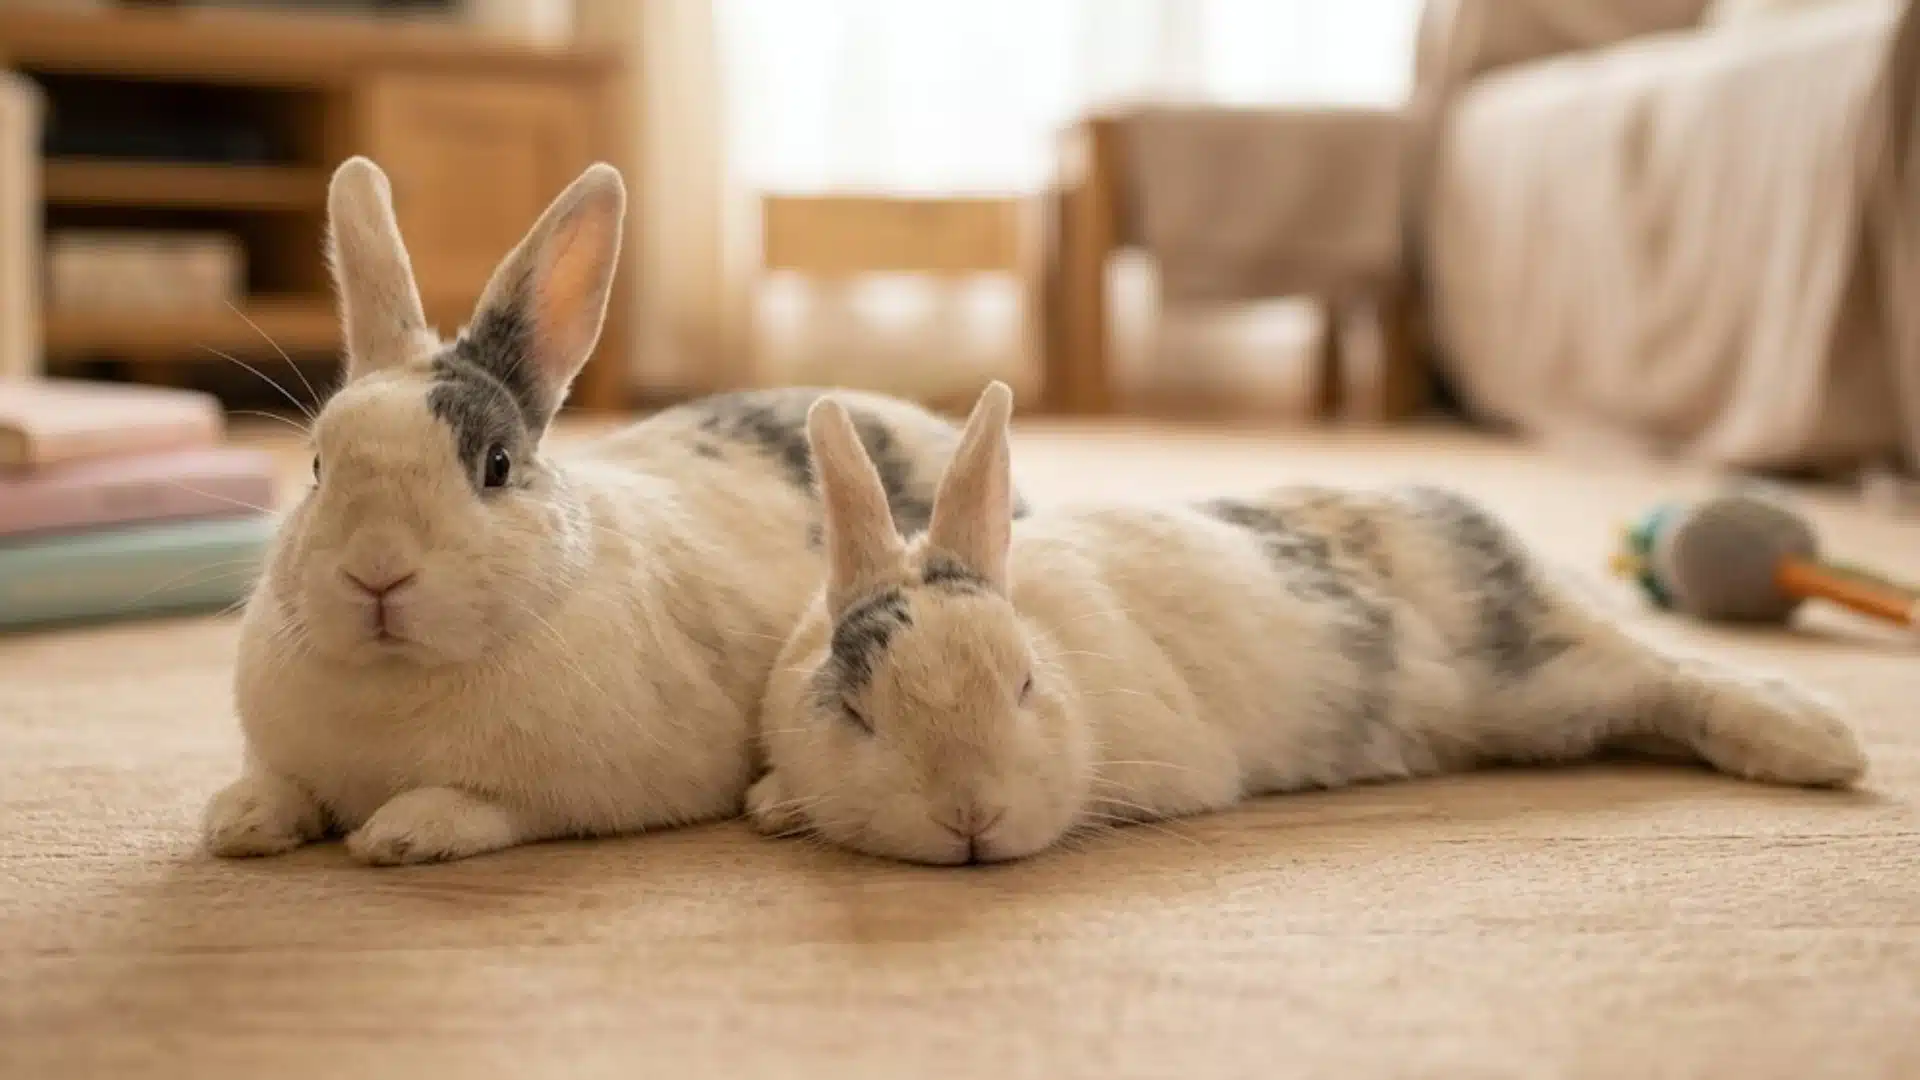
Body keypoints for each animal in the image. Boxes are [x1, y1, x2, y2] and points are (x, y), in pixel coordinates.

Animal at [200, 157, 1020, 866]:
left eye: (496, 465)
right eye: (316, 466)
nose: (376, 571)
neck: (398, 675)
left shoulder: (567, 796)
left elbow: (484, 806)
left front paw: (400, 832)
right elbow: (277, 783)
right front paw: (237, 821)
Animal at [747, 382, 1868, 865]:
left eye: (1026, 684)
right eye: (857, 714)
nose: (969, 814)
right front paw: (771, 804)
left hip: (1544, 678)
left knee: (1670, 676)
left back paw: (1818, 743)